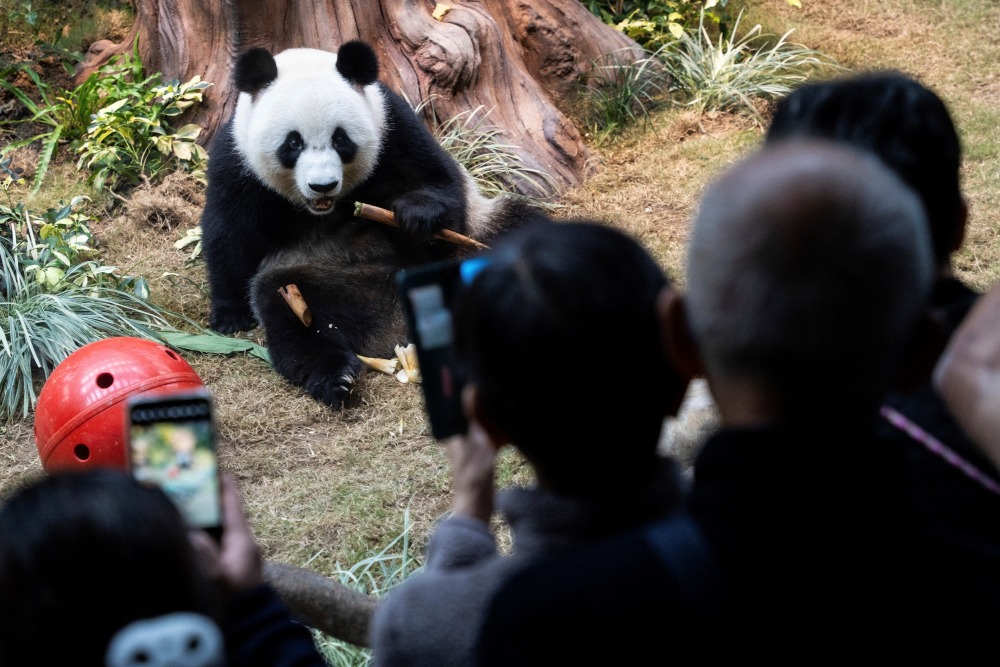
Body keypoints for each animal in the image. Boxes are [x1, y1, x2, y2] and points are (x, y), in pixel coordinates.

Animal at [200, 41, 552, 410]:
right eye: (292, 143)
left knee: (519, 233)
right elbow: (229, 234)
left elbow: (441, 187)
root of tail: (396, 328)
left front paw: (417, 216)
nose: (322, 186)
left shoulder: (393, 128)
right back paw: (336, 377)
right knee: (287, 311)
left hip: (482, 235)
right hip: (333, 285)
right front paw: (230, 315)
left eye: (341, 139)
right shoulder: (236, 162)